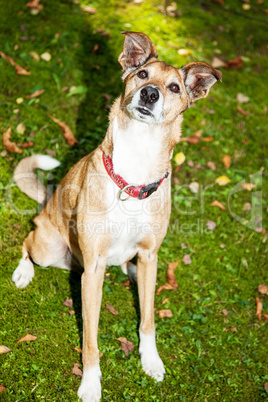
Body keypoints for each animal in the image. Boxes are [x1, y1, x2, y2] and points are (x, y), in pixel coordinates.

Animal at [12, 32, 221, 402]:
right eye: (142, 74)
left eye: (174, 87)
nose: (149, 93)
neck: (135, 171)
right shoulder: (93, 269)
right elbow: (90, 341)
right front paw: (91, 384)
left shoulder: (150, 254)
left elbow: (148, 319)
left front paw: (151, 361)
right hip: (48, 247)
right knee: (27, 241)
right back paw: (23, 272)